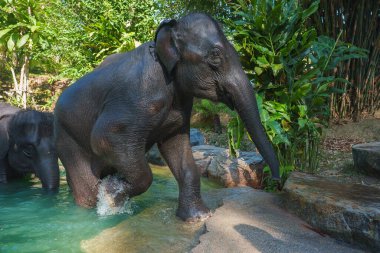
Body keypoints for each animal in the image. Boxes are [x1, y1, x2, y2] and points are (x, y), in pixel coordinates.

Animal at [53, 12, 280, 220]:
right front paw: (110, 194)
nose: (276, 181)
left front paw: (199, 217)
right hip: (67, 140)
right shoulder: (137, 94)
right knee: (87, 188)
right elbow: (104, 138)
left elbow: (177, 146)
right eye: (215, 56)